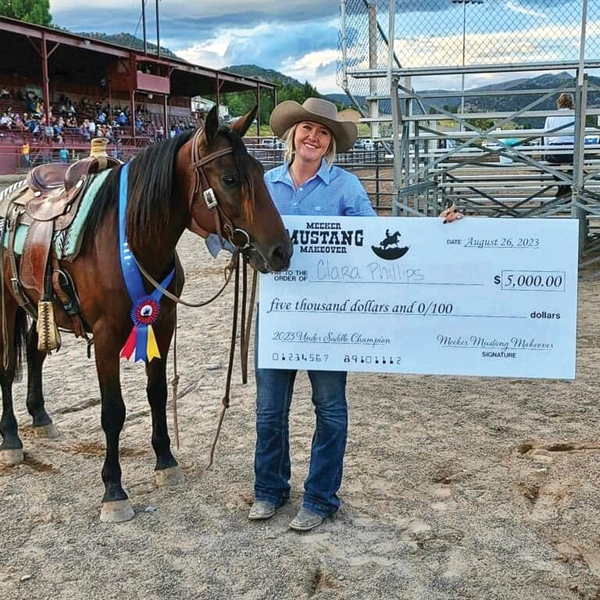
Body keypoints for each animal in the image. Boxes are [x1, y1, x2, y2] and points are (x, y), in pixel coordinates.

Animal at [0, 106, 292, 520]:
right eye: (230, 179)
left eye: (258, 172)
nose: (282, 250)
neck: (128, 237)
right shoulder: (106, 337)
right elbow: (113, 411)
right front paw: (113, 490)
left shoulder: (162, 323)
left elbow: (157, 393)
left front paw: (166, 462)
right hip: (6, 304)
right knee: (8, 368)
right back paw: (11, 439)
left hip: (41, 308)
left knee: (34, 351)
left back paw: (40, 417)